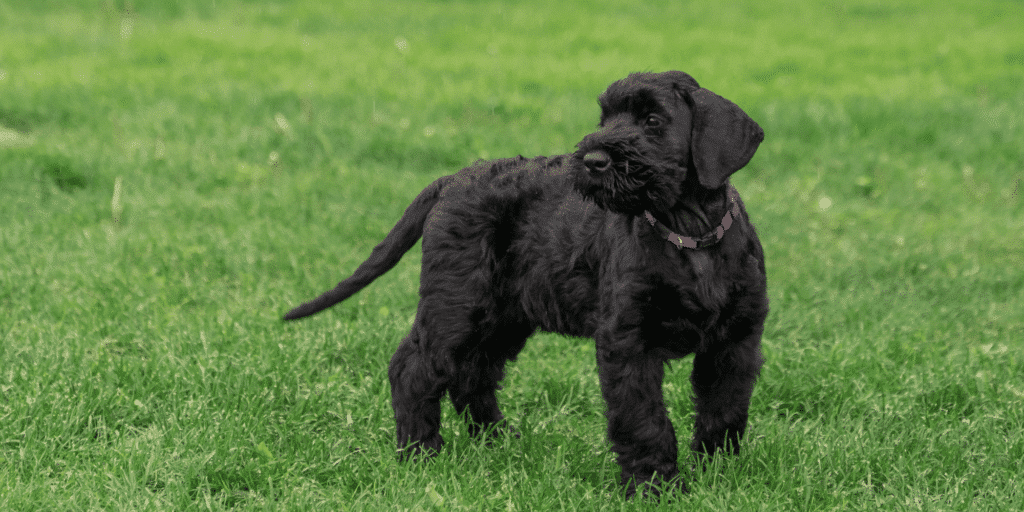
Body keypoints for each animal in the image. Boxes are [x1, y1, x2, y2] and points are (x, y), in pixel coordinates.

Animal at [284, 71, 765, 495]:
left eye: (652, 121)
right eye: (604, 119)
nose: (592, 161)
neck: (688, 234)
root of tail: (453, 180)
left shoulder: (735, 342)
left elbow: (724, 409)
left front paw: (718, 473)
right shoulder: (628, 341)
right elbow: (645, 419)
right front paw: (654, 487)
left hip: (502, 316)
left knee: (473, 374)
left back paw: (497, 439)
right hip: (457, 304)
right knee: (414, 368)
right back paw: (419, 453)